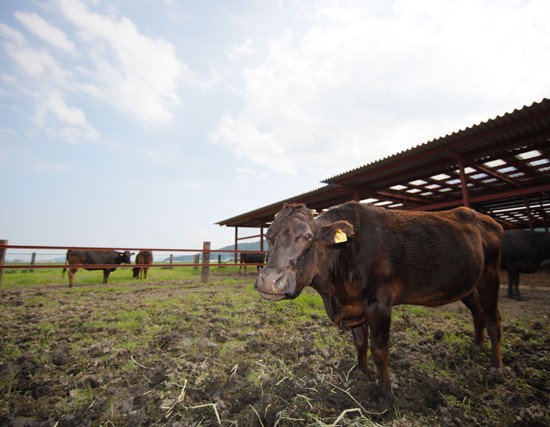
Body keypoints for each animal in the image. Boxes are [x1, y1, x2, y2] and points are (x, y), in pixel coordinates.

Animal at [256, 203, 506, 404]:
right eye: (268, 235)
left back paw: (496, 367)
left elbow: (379, 349)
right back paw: (476, 346)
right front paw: (362, 372)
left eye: (308, 236)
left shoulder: (379, 303)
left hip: (490, 275)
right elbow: (360, 343)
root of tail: (487, 219)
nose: (269, 280)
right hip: (467, 284)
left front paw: (385, 393)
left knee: (493, 318)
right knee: (478, 313)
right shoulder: (354, 304)